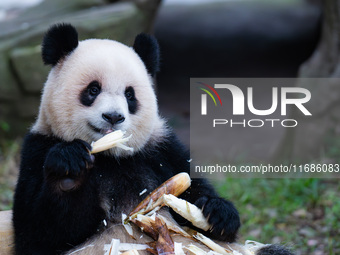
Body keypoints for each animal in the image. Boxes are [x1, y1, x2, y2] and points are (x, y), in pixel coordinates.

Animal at [12, 23, 292, 255]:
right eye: (93, 89)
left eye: (130, 95)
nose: (113, 117)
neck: (110, 156)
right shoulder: (37, 148)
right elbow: (39, 234)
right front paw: (69, 171)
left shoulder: (162, 148)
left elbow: (197, 196)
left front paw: (218, 213)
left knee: (274, 252)